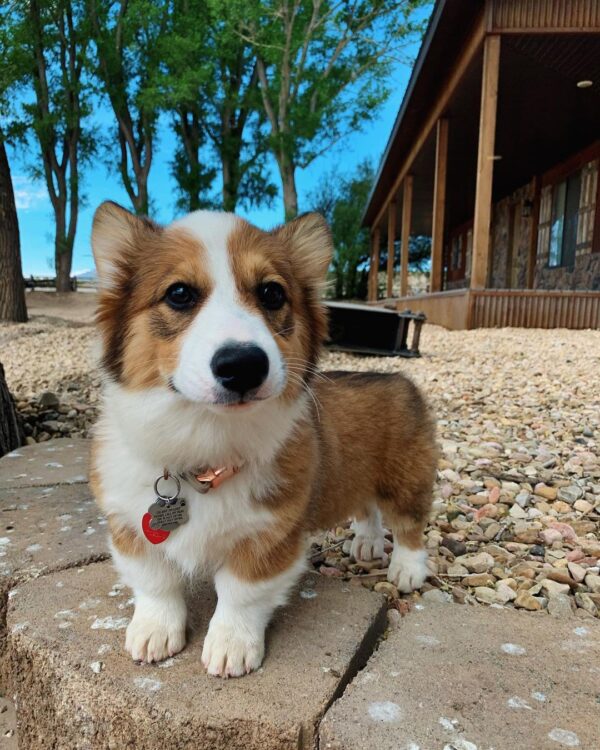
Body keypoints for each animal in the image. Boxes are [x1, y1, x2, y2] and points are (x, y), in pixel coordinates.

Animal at [89, 203, 436, 680]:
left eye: (272, 293)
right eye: (179, 294)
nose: (243, 365)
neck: (206, 446)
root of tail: (400, 379)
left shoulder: (270, 535)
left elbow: (241, 593)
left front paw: (231, 645)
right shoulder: (128, 524)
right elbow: (155, 581)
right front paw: (154, 630)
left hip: (405, 480)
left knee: (409, 524)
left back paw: (406, 568)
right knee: (366, 507)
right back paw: (366, 542)